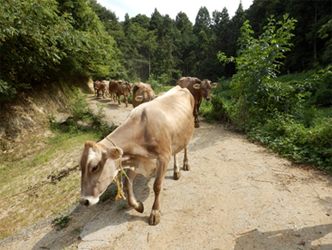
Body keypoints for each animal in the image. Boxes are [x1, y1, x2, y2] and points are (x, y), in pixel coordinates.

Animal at [78, 85, 195, 225]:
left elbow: (157, 186)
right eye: (80, 167)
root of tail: (180, 87)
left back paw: (185, 164)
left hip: (187, 131)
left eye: (94, 167)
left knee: (185, 147)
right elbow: (127, 184)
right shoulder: (136, 160)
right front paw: (138, 206)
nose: (84, 201)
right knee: (176, 151)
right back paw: (176, 171)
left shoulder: (163, 157)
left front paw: (155, 213)